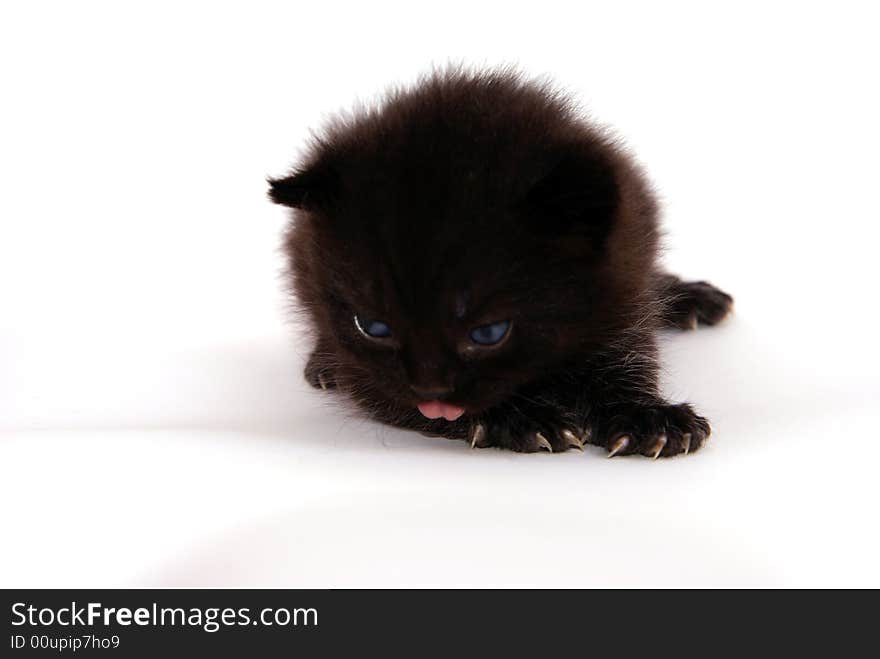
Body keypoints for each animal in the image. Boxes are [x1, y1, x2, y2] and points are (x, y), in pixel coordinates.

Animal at [266, 68, 728, 458]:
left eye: (488, 333)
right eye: (373, 327)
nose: (431, 391)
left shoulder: (623, 282)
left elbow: (628, 351)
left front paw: (645, 415)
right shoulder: (358, 360)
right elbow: (382, 390)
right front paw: (517, 419)